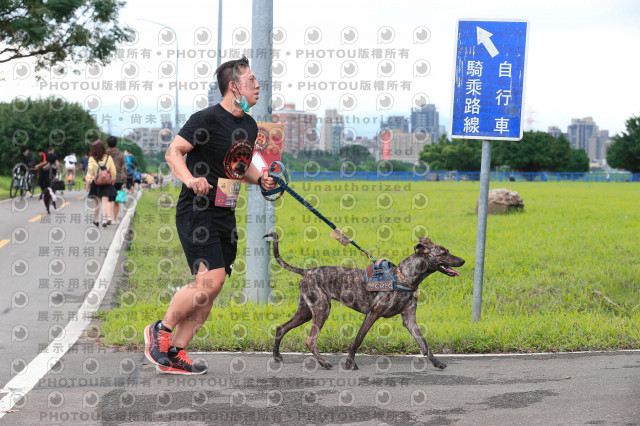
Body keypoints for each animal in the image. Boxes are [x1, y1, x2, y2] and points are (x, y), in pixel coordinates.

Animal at [264, 233, 464, 370]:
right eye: (444, 253)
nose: (462, 260)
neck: (404, 277)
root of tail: (306, 271)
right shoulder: (372, 314)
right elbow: (357, 340)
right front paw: (350, 363)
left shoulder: (409, 320)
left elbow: (424, 343)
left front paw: (436, 362)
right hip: (322, 309)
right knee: (310, 340)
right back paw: (323, 362)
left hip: (305, 311)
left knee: (281, 328)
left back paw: (276, 356)